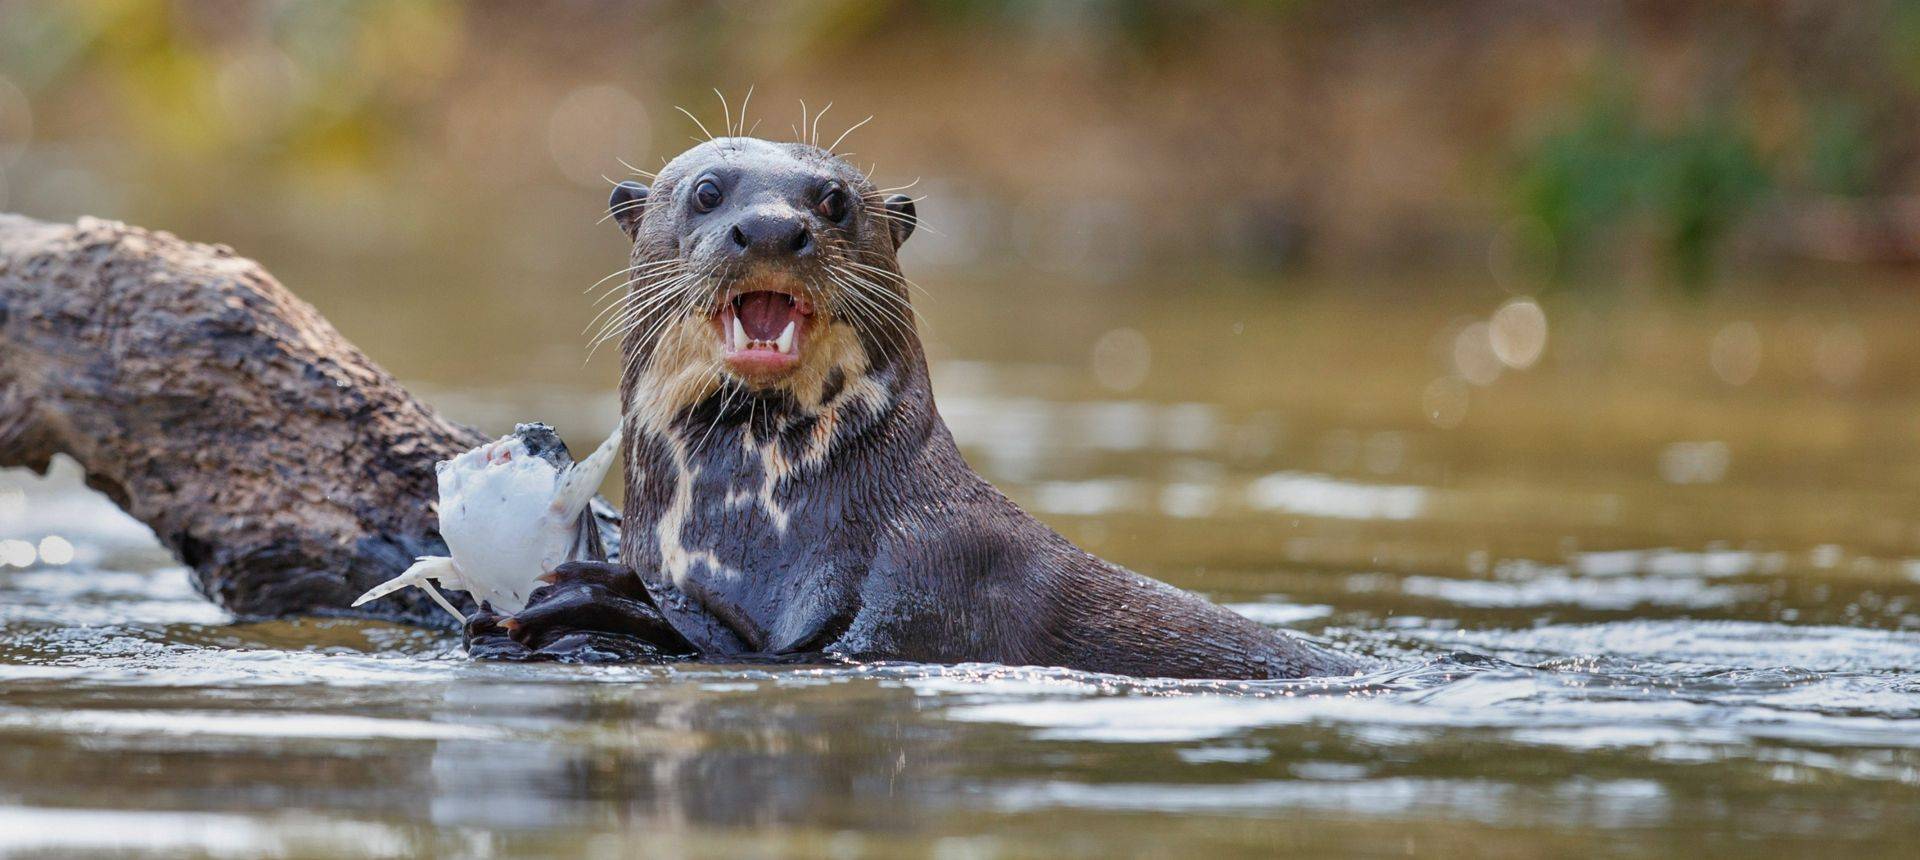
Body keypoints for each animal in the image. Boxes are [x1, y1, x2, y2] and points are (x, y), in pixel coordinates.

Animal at [464, 138, 1367, 683]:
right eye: (708, 192)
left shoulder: (925, 592)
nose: (771, 227)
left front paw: (588, 598)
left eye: (833, 201)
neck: (755, 529)